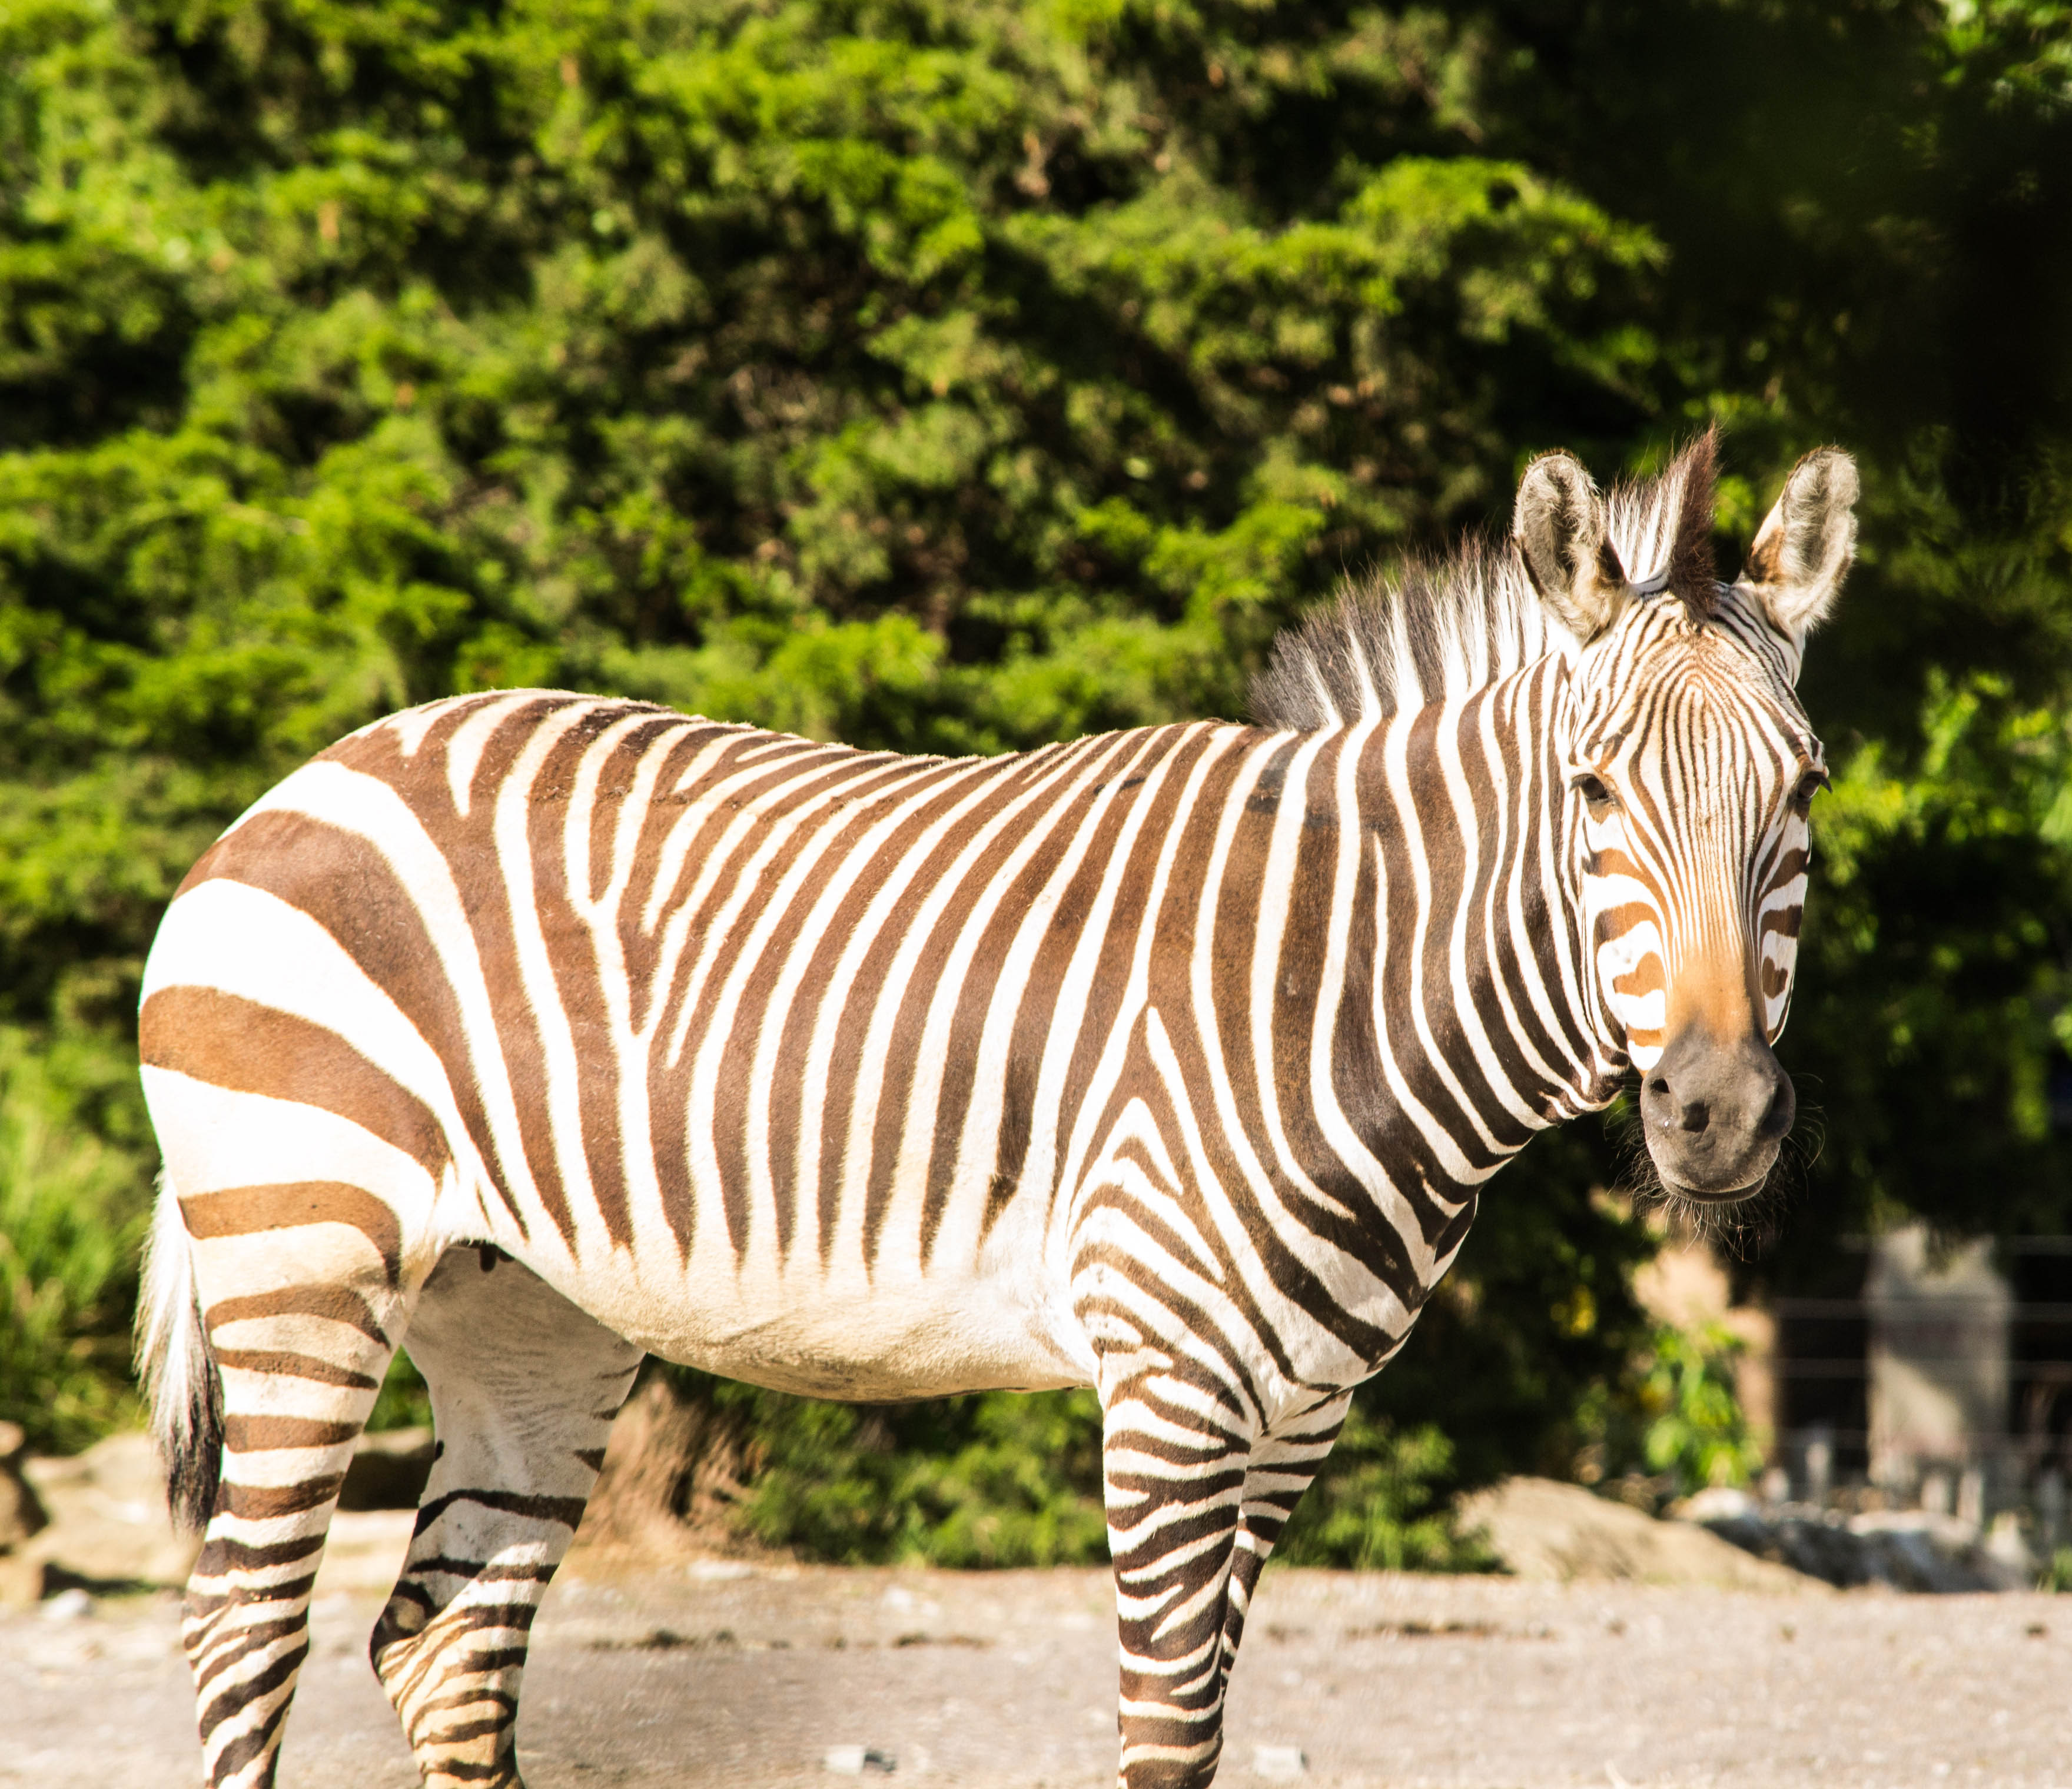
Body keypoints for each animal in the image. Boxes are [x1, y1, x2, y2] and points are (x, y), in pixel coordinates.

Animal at [136, 431, 1855, 1789]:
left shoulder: (1294, 1416)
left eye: (1806, 791)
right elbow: (1165, 1735)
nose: (1715, 1112)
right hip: (305, 1257)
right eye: (1592, 792)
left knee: (444, 1650)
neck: (1335, 984)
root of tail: (316, 771)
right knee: (241, 1635)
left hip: (527, 1317)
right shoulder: (1168, 1381)